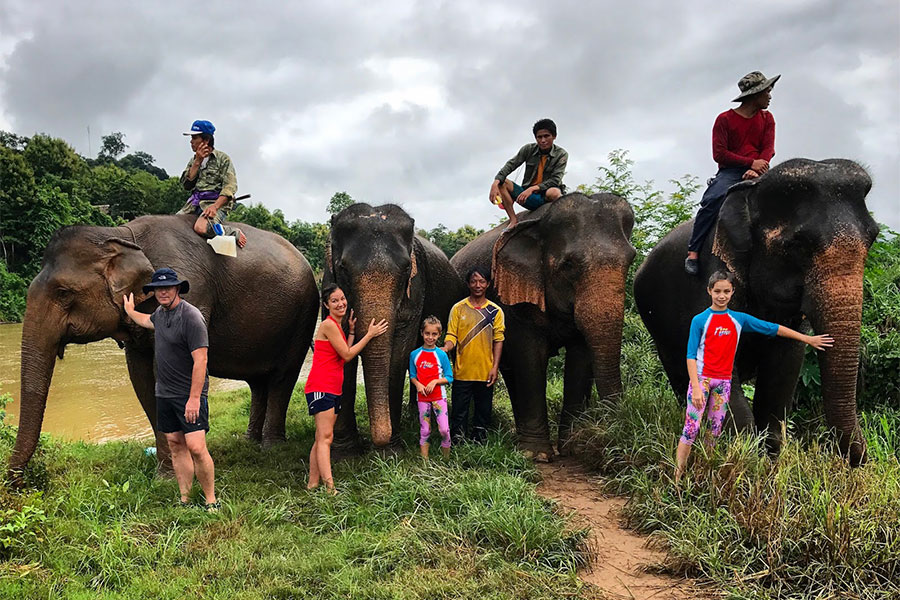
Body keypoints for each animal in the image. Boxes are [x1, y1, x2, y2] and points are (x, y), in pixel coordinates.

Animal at [9, 214, 320, 478]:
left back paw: (271, 447)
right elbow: (143, 380)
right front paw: (167, 475)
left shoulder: (192, 292)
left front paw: (180, 472)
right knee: (258, 383)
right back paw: (250, 440)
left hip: (302, 317)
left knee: (281, 378)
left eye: (63, 293)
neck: (121, 235)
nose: (16, 482)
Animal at [322, 202, 464, 450]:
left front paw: (391, 449)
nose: (376, 442)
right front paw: (344, 449)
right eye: (343, 268)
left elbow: (400, 354)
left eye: (407, 268)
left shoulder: (416, 289)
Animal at [450, 193, 632, 460]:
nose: (611, 437)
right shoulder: (514, 301)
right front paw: (536, 455)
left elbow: (580, 357)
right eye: (568, 265)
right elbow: (530, 358)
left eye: (632, 260)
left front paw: (574, 448)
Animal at [632, 157, 880, 466]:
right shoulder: (708, 279)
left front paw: (769, 461)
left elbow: (785, 365)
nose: (858, 463)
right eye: (797, 245)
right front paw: (746, 459)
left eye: (873, 238)